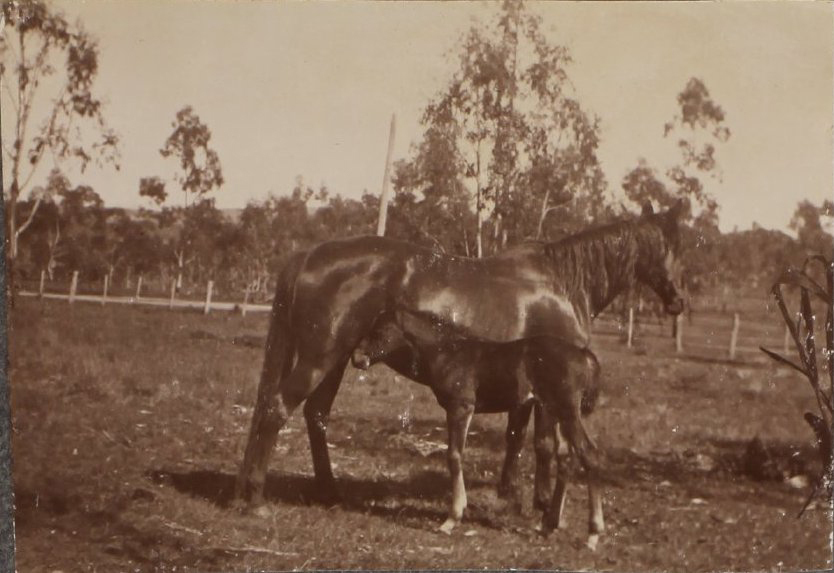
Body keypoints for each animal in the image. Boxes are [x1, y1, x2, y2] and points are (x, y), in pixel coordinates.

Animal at [352, 308, 603, 547]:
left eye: (381, 329)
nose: (356, 357)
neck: (448, 352)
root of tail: (583, 354)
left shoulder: (460, 408)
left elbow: (454, 456)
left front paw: (452, 518)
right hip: (554, 411)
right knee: (566, 458)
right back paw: (549, 525)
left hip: (566, 410)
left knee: (589, 453)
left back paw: (593, 533)